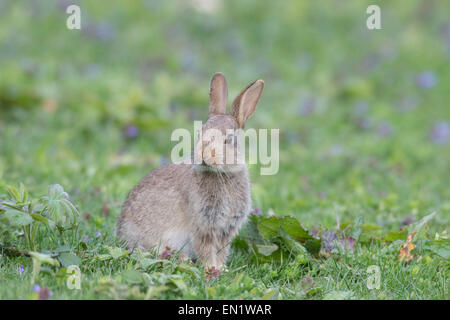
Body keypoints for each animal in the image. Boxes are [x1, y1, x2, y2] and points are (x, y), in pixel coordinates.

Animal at [116, 72, 264, 270]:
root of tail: (122, 234)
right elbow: (205, 248)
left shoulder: (225, 229)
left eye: (229, 139)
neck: (221, 175)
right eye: (201, 132)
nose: (203, 154)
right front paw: (211, 268)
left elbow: (220, 250)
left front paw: (221, 268)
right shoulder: (202, 224)